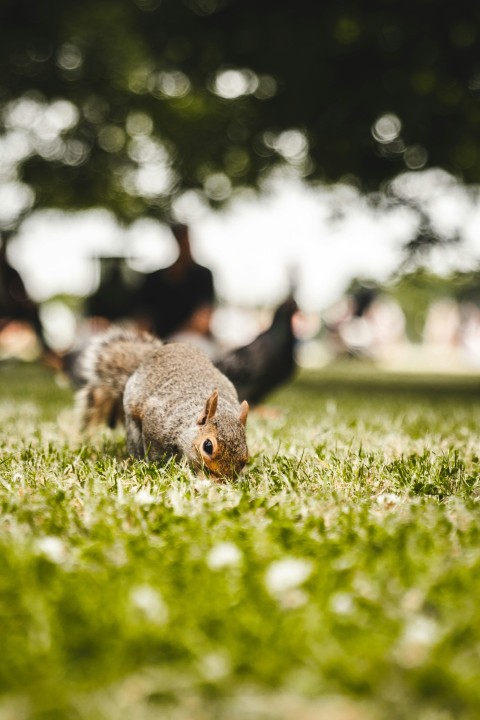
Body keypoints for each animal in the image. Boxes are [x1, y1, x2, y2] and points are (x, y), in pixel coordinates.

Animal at [77, 330, 249, 480]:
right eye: (207, 446)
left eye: (246, 456)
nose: (220, 482)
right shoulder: (157, 420)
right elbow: (155, 450)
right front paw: (160, 466)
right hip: (133, 424)